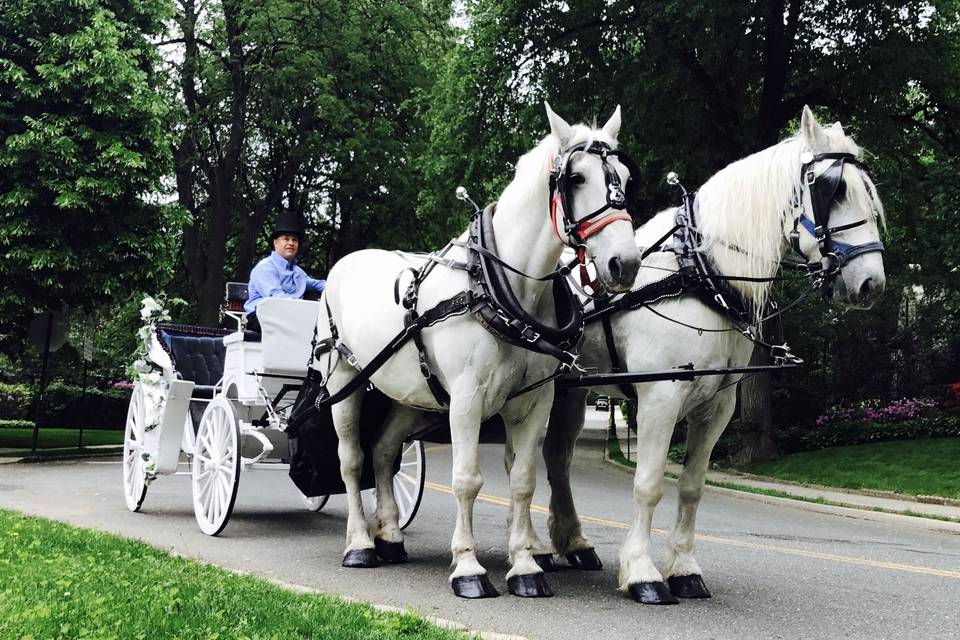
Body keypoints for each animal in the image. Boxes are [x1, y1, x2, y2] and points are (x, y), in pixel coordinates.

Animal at [318, 102, 640, 596]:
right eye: (576, 178)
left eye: (624, 174)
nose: (626, 263)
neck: (502, 288)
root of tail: (345, 263)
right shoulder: (467, 400)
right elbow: (467, 480)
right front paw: (468, 567)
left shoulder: (534, 402)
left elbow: (524, 480)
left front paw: (525, 566)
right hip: (345, 381)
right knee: (352, 460)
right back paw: (360, 544)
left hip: (410, 395)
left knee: (384, 452)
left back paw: (389, 534)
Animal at [544, 107, 888, 604]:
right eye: (834, 189)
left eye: (866, 190)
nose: (871, 283)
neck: (700, 274)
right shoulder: (661, 398)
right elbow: (649, 484)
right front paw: (643, 572)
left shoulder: (718, 406)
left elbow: (691, 486)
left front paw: (684, 569)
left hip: (568, 393)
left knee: (556, 459)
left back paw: (571, 542)